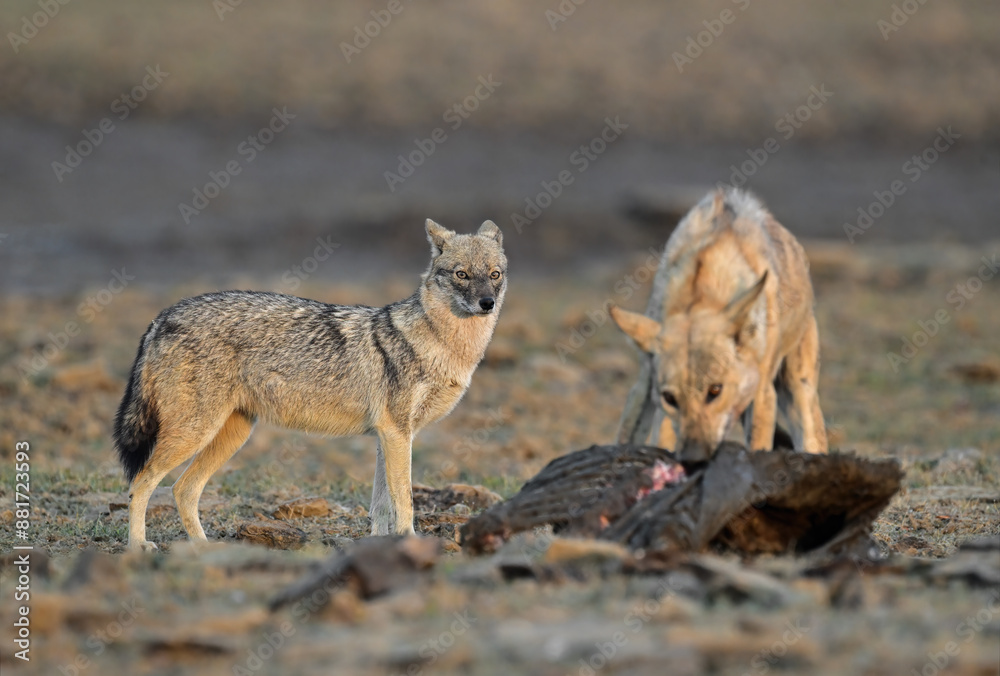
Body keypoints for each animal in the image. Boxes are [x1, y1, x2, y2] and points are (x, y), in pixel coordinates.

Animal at [114, 220, 506, 551]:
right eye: (461, 274)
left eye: (494, 274)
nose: (486, 303)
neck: (445, 345)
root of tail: (162, 316)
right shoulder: (396, 432)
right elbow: (404, 499)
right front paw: (408, 540)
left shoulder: (389, 435)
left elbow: (382, 503)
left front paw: (380, 546)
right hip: (194, 433)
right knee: (140, 484)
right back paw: (138, 546)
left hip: (230, 435)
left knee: (183, 489)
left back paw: (204, 550)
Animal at [610, 188, 827, 461]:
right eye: (670, 398)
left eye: (715, 391)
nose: (693, 458)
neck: (702, 290)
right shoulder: (651, 392)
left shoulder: (763, 395)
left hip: (799, 396)